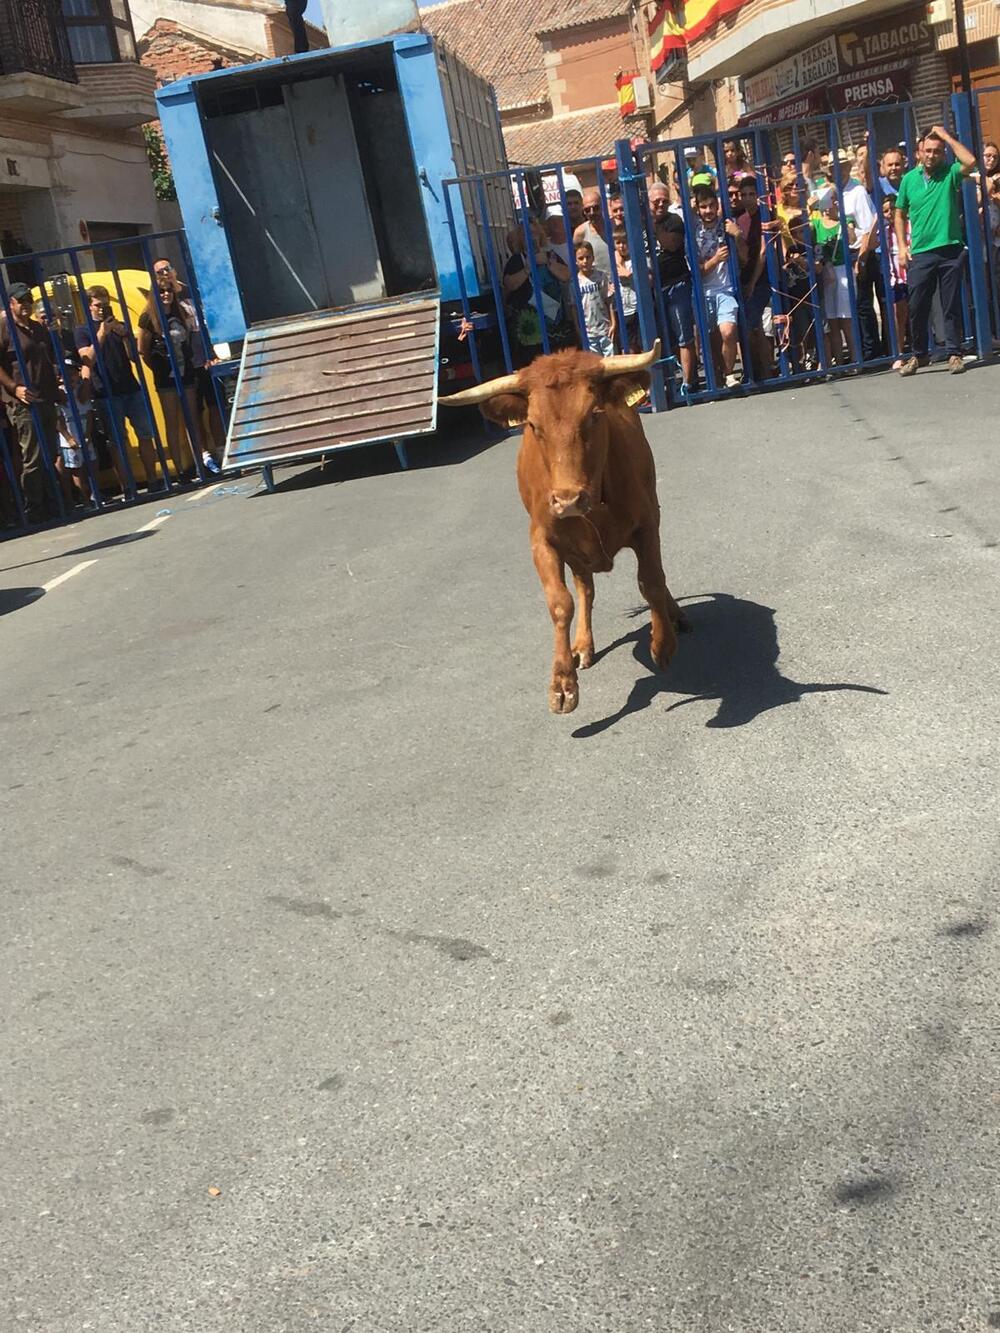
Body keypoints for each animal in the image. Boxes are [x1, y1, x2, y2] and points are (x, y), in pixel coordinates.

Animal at [445, 343, 688, 719]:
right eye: (533, 424)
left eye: (594, 414)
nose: (568, 500)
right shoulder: (542, 542)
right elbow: (562, 603)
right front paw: (562, 684)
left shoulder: (647, 524)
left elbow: (651, 581)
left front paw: (662, 642)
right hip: (576, 553)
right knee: (585, 589)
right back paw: (583, 645)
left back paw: (673, 613)